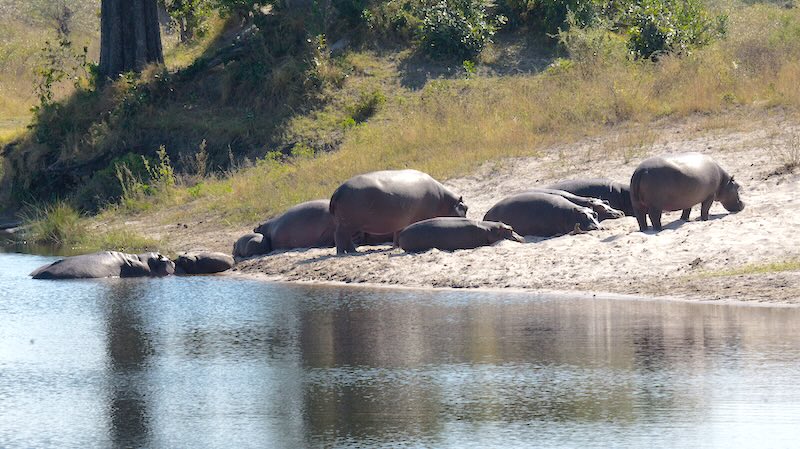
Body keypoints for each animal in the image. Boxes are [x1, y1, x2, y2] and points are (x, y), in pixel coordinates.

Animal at [330, 169, 468, 254]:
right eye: (466, 208)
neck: (446, 200)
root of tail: (337, 191)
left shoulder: (401, 221)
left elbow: (397, 233)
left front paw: (396, 246)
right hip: (347, 223)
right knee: (339, 236)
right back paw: (342, 253)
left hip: (346, 223)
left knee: (345, 237)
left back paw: (352, 251)